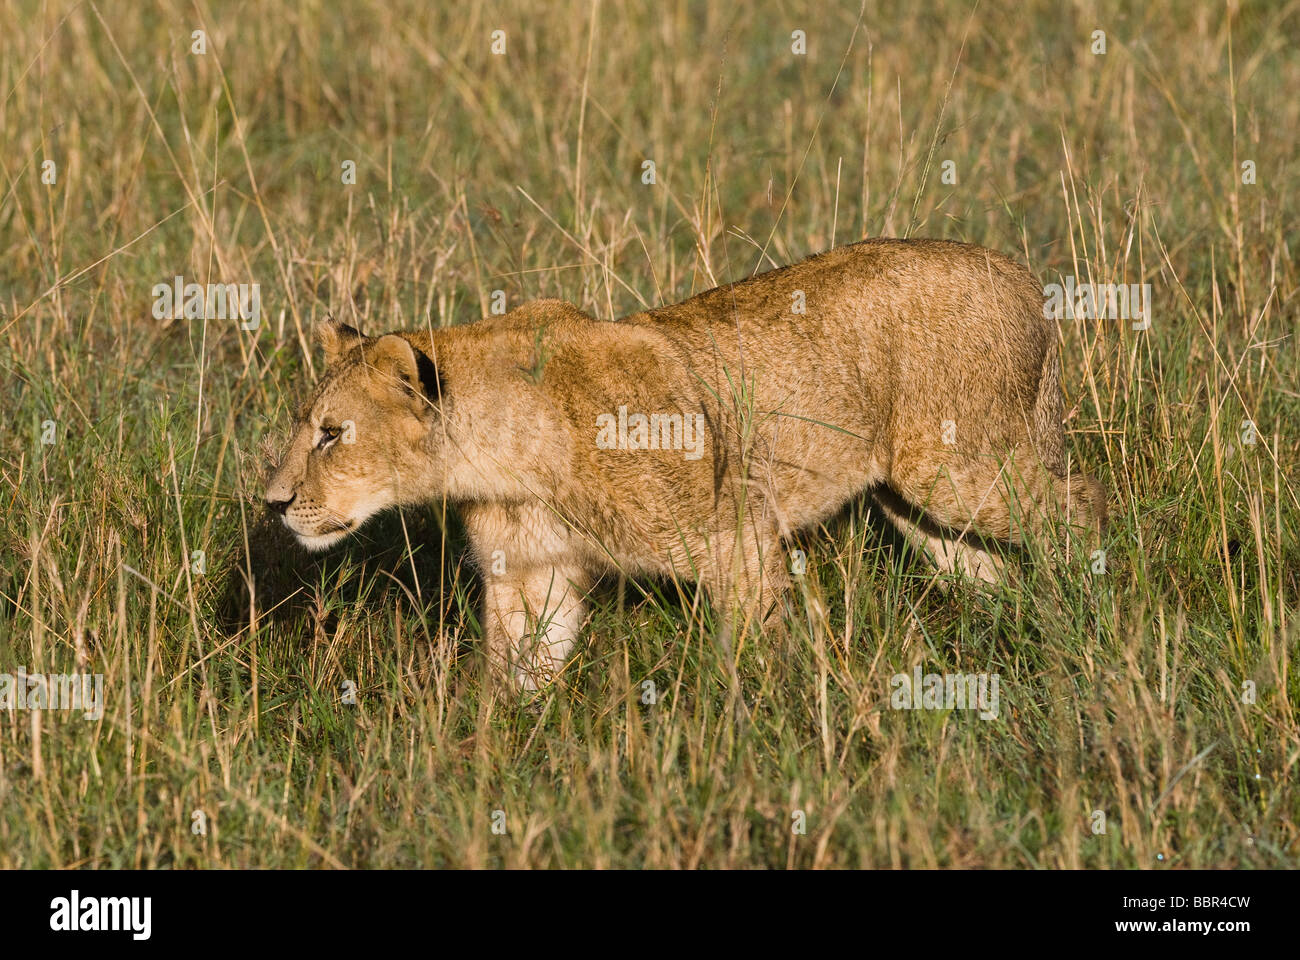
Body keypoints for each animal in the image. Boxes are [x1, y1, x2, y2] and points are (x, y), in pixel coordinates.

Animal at [265, 238, 1106, 689]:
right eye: (309, 427)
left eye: (331, 434)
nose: (274, 503)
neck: (504, 461)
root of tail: (1022, 275)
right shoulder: (532, 575)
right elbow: (519, 677)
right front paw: (498, 763)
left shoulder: (739, 535)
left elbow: (753, 657)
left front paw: (757, 736)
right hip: (919, 505)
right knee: (991, 569)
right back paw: (1030, 632)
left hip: (955, 467)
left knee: (1082, 506)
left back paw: (1097, 605)